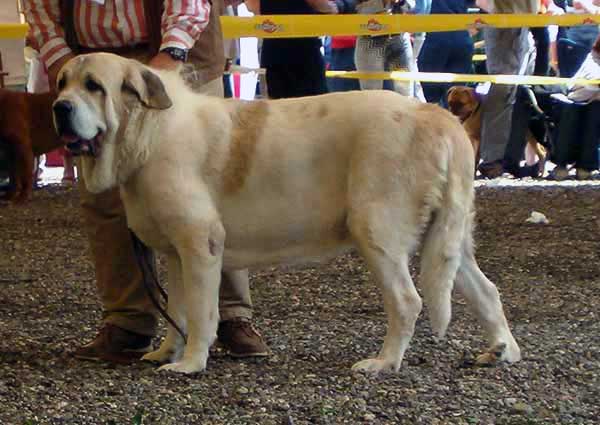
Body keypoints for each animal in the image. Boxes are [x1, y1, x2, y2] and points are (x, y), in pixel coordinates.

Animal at [52, 53, 520, 374]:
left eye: (94, 86)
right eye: (62, 83)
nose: (60, 107)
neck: (147, 132)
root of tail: (434, 114)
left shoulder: (200, 245)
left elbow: (201, 313)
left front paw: (190, 364)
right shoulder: (175, 254)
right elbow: (178, 312)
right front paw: (167, 351)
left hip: (378, 232)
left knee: (408, 301)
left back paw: (383, 363)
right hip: (446, 240)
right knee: (487, 290)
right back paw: (502, 351)